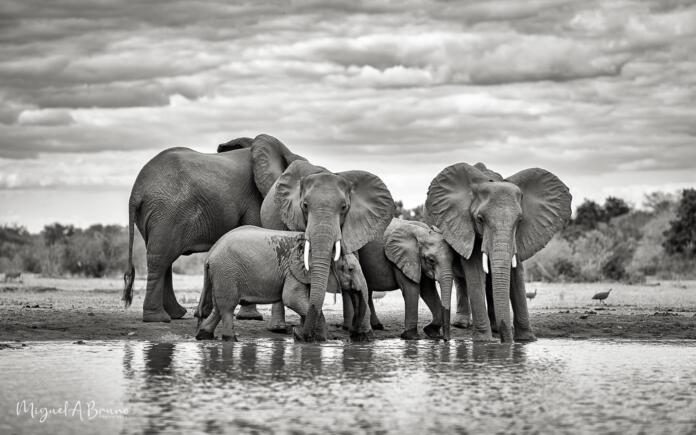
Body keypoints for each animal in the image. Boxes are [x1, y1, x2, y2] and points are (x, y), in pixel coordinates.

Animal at [122, 134, 305, 322]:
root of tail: (136, 192)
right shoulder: (254, 199)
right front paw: (251, 318)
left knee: (164, 258)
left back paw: (176, 314)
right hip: (166, 211)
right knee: (160, 258)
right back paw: (158, 318)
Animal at [195, 226, 372, 342]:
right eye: (350, 269)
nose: (295, 332)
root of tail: (209, 256)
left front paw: (316, 339)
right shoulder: (293, 271)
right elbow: (291, 299)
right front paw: (319, 340)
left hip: (221, 275)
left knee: (218, 308)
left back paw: (204, 336)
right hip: (227, 272)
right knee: (227, 308)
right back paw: (230, 339)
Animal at [257, 160, 395, 341]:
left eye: (344, 207)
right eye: (305, 205)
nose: (297, 333)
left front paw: (361, 335)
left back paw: (345, 327)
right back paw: (278, 329)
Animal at [425, 162, 571, 342]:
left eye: (519, 221)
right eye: (480, 219)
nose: (506, 341)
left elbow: (516, 274)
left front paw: (526, 339)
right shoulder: (464, 226)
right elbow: (475, 271)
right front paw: (483, 341)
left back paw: (494, 327)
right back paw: (462, 324)